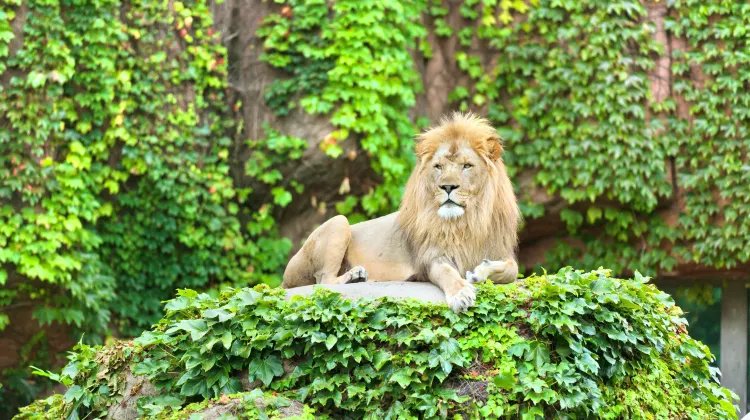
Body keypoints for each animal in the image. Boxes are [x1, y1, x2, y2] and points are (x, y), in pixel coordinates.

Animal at [282, 111, 524, 312]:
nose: (447, 187)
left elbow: (512, 268)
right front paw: (461, 294)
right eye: (438, 167)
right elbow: (447, 273)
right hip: (339, 222)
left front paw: (480, 272)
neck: (466, 221)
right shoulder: (430, 258)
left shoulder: (499, 249)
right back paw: (355, 277)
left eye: (466, 166)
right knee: (323, 281)